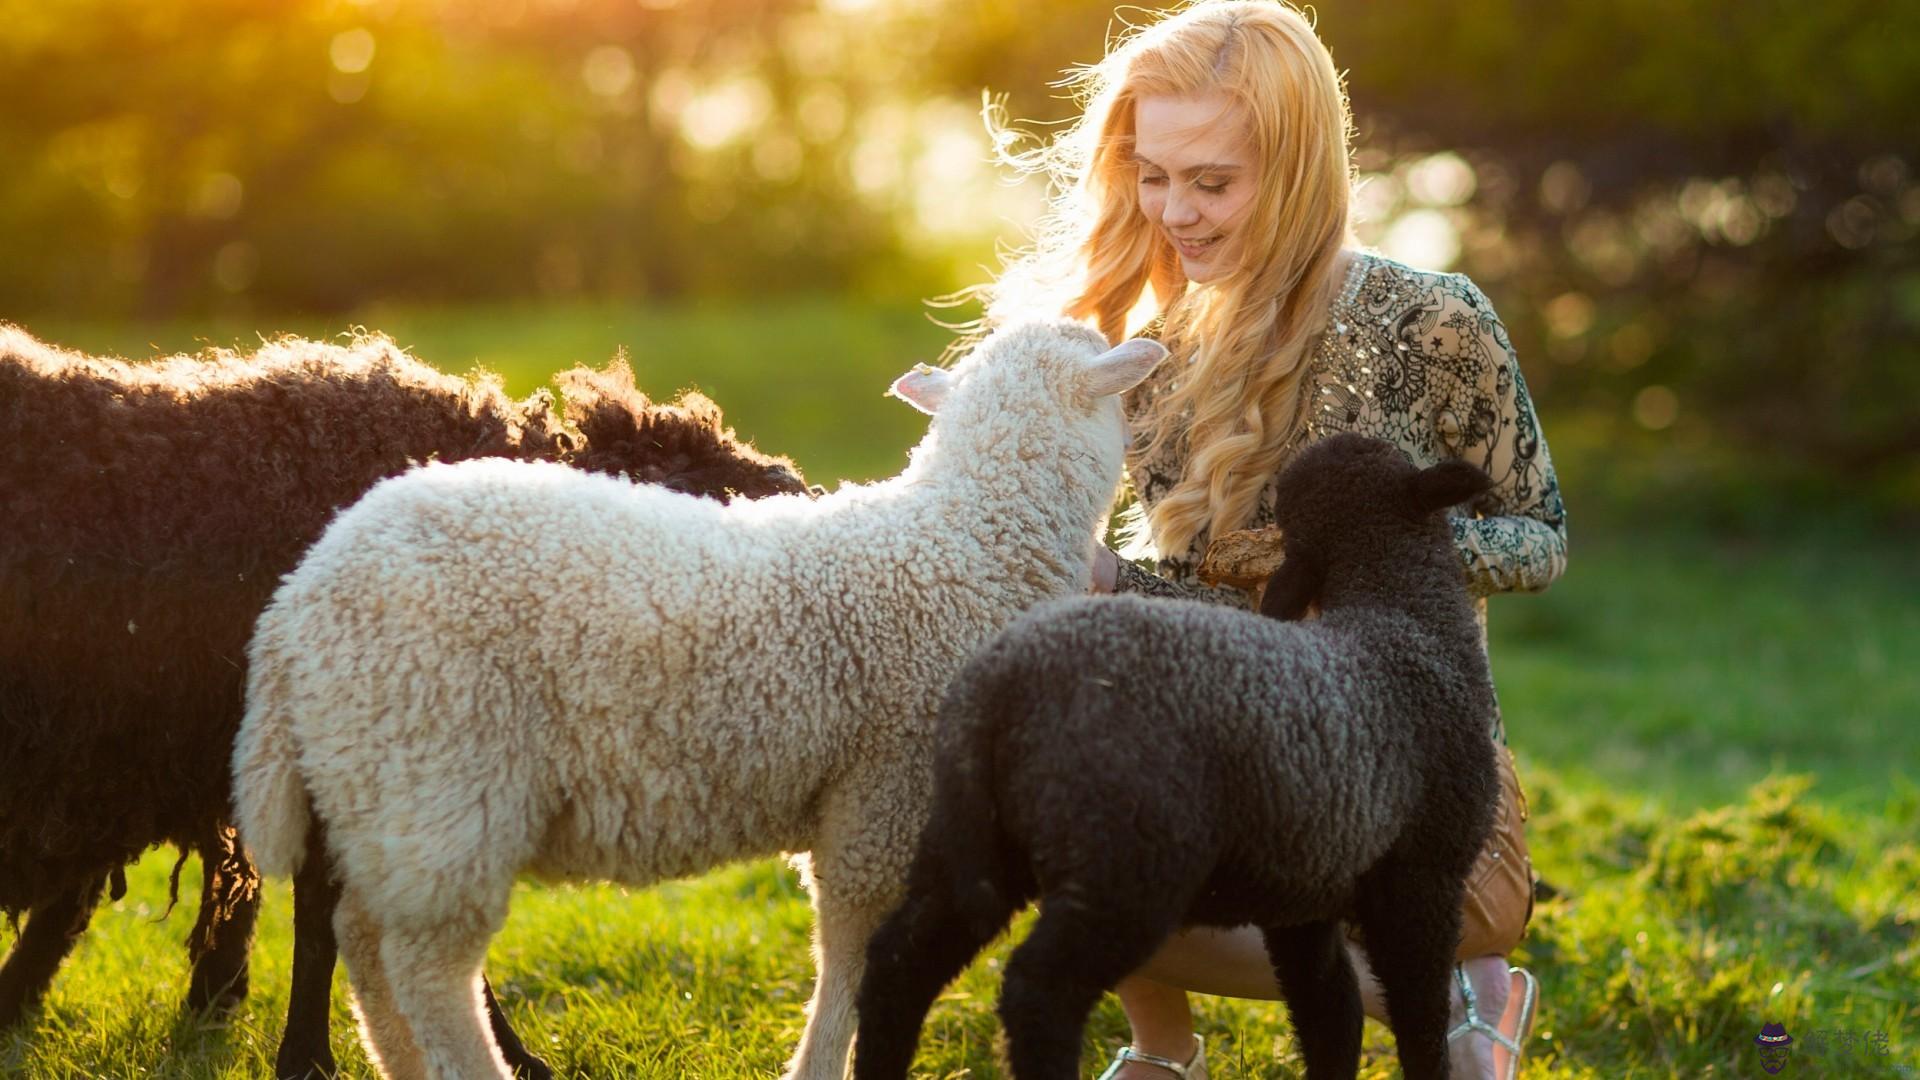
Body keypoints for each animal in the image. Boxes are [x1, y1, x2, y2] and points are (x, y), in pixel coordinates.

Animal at [232, 319, 1159, 1076]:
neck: (970, 537)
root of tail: (294, 608)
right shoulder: (882, 796)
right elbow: (854, 954)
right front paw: (823, 1066)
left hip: (379, 793)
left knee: (363, 944)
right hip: (439, 778)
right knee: (425, 971)